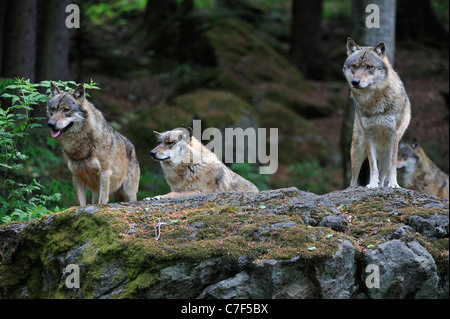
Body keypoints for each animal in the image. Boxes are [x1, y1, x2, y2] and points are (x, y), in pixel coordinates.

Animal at [344, 37, 412, 189]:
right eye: (354, 66)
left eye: (369, 67)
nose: (355, 82)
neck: (374, 103)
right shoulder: (368, 136)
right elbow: (373, 165)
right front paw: (372, 184)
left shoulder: (394, 136)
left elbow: (393, 165)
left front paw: (393, 184)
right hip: (358, 151)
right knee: (353, 180)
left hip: (385, 155)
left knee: (384, 174)